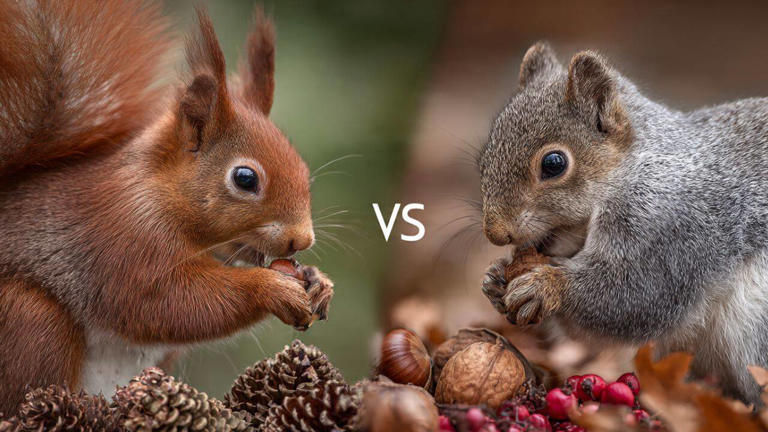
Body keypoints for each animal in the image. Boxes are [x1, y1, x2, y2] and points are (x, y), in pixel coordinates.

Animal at [0, 0, 334, 413]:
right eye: (245, 178)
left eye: (304, 170)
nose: (301, 240)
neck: (160, 192)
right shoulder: (124, 237)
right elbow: (167, 302)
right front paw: (270, 288)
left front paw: (319, 282)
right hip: (29, 319)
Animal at [479, 42, 768, 404]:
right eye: (484, 156)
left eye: (554, 163)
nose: (495, 233)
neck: (632, 168)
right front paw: (494, 278)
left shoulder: (669, 228)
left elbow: (632, 295)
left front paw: (547, 286)